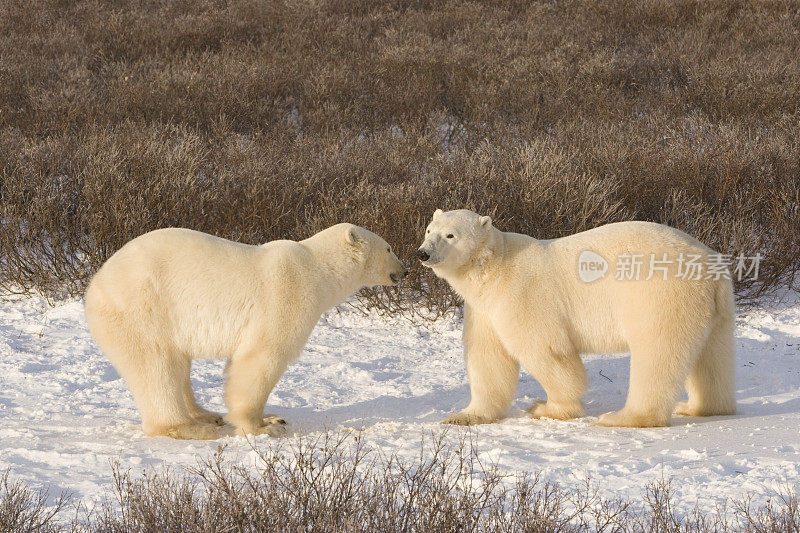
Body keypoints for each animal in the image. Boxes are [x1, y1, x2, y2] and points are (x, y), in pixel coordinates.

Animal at [86, 222, 406, 438]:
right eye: (389, 247)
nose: (405, 270)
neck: (317, 269)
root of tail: (95, 284)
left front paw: (274, 418)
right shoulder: (288, 294)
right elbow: (262, 358)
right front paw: (263, 426)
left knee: (178, 366)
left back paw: (206, 416)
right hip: (143, 311)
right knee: (156, 367)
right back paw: (190, 428)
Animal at [418, 209, 736, 428]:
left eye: (450, 235)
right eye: (429, 230)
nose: (423, 253)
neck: (494, 268)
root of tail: (710, 268)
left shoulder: (522, 294)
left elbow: (545, 349)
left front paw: (547, 408)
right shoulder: (483, 310)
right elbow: (487, 358)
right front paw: (463, 416)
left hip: (660, 295)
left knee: (657, 353)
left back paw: (623, 417)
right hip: (715, 309)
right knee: (712, 357)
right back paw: (699, 407)